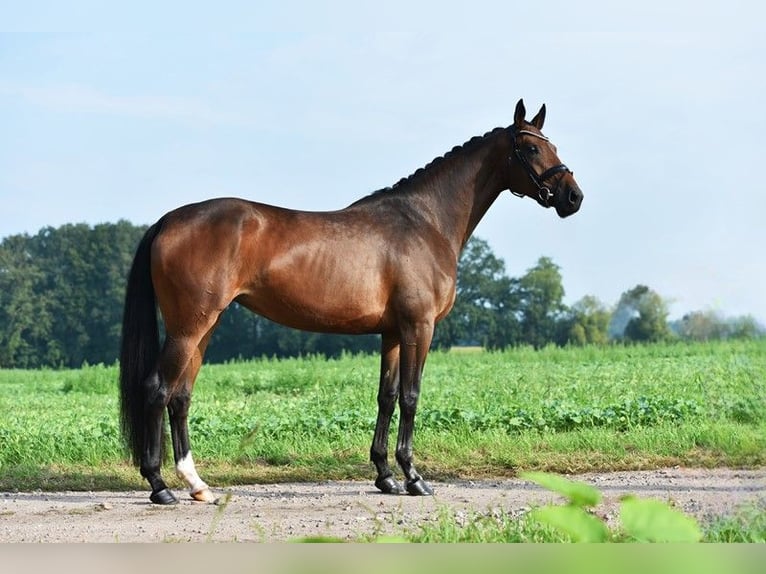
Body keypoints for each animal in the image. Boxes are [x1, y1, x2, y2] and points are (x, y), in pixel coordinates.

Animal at [121, 99, 588, 504]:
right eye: (531, 147)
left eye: (552, 145)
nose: (573, 197)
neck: (425, 221)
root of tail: (168, 220)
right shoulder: (419, 327)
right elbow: (411, 396)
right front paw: (414, 478)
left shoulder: (393, 333)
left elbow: (387, 396)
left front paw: (385, 476)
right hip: (189, 327)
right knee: (158, 389)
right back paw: (159, 486)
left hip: (205, 326)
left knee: (181, 397)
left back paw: (197, 485)